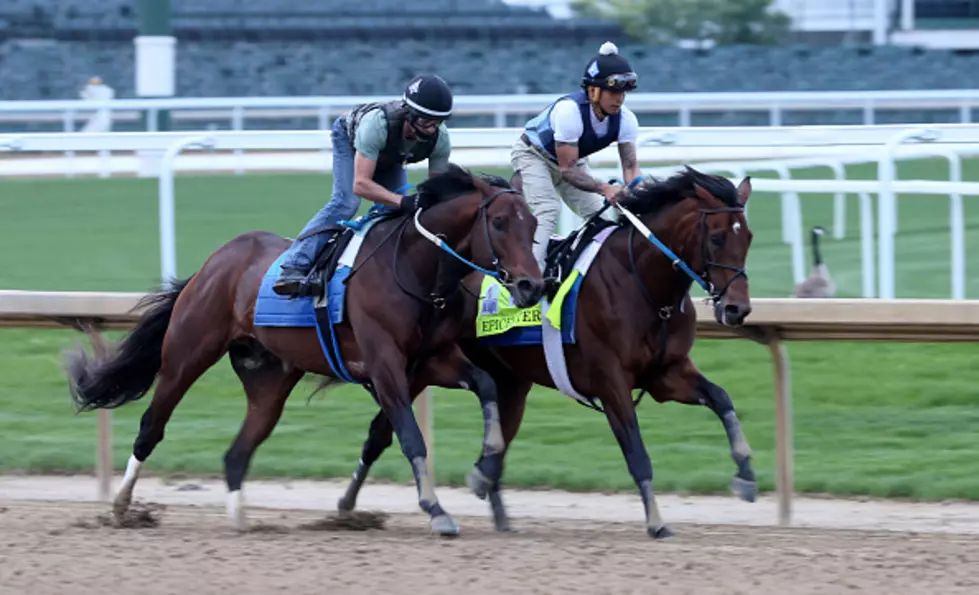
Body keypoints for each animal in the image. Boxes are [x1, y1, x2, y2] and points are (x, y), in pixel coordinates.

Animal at [65, 165, 548, 536]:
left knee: (237, 453)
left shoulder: (432, 359)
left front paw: (483, 470)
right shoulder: (385, 364)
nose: (531, 286)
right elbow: (411, 436)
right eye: (500, 223)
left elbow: (486, 386)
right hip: (187, 353)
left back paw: (240, 519)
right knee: (152, 426)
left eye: (534, 226)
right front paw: (437, 510)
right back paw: (122, 506)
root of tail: (213, 262)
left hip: (269, 379)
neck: (416, 269)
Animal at [332, 166, 756, 540]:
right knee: (384, 430)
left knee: (486, 432)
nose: (737, 309)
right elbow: (637, 453)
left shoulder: (666, 373)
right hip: (413, 363)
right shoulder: (611, 380)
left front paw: (747, 476)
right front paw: (657, 522)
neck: (641, 283)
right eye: (717, 238)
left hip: (505, 380)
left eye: (748, 237)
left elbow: (722, 398)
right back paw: (355, 504)